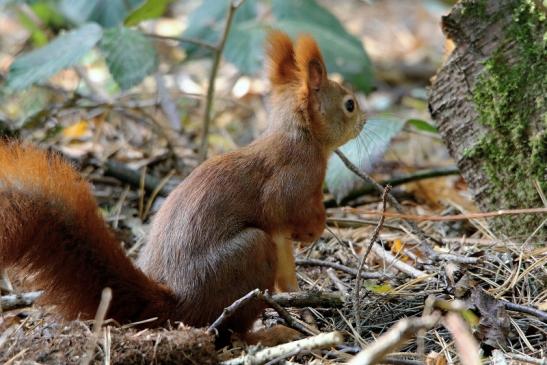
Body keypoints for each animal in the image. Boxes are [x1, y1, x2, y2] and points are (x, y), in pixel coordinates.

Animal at [1, 32, 368, 336]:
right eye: (349, 104)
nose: (365, 121)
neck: (300, 138)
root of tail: (176, 305)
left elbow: (287, 267)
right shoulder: (290, 181)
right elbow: (284, 209)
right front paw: (315, 228)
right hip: (249, 254)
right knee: (231, 330)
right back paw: (269, 335)